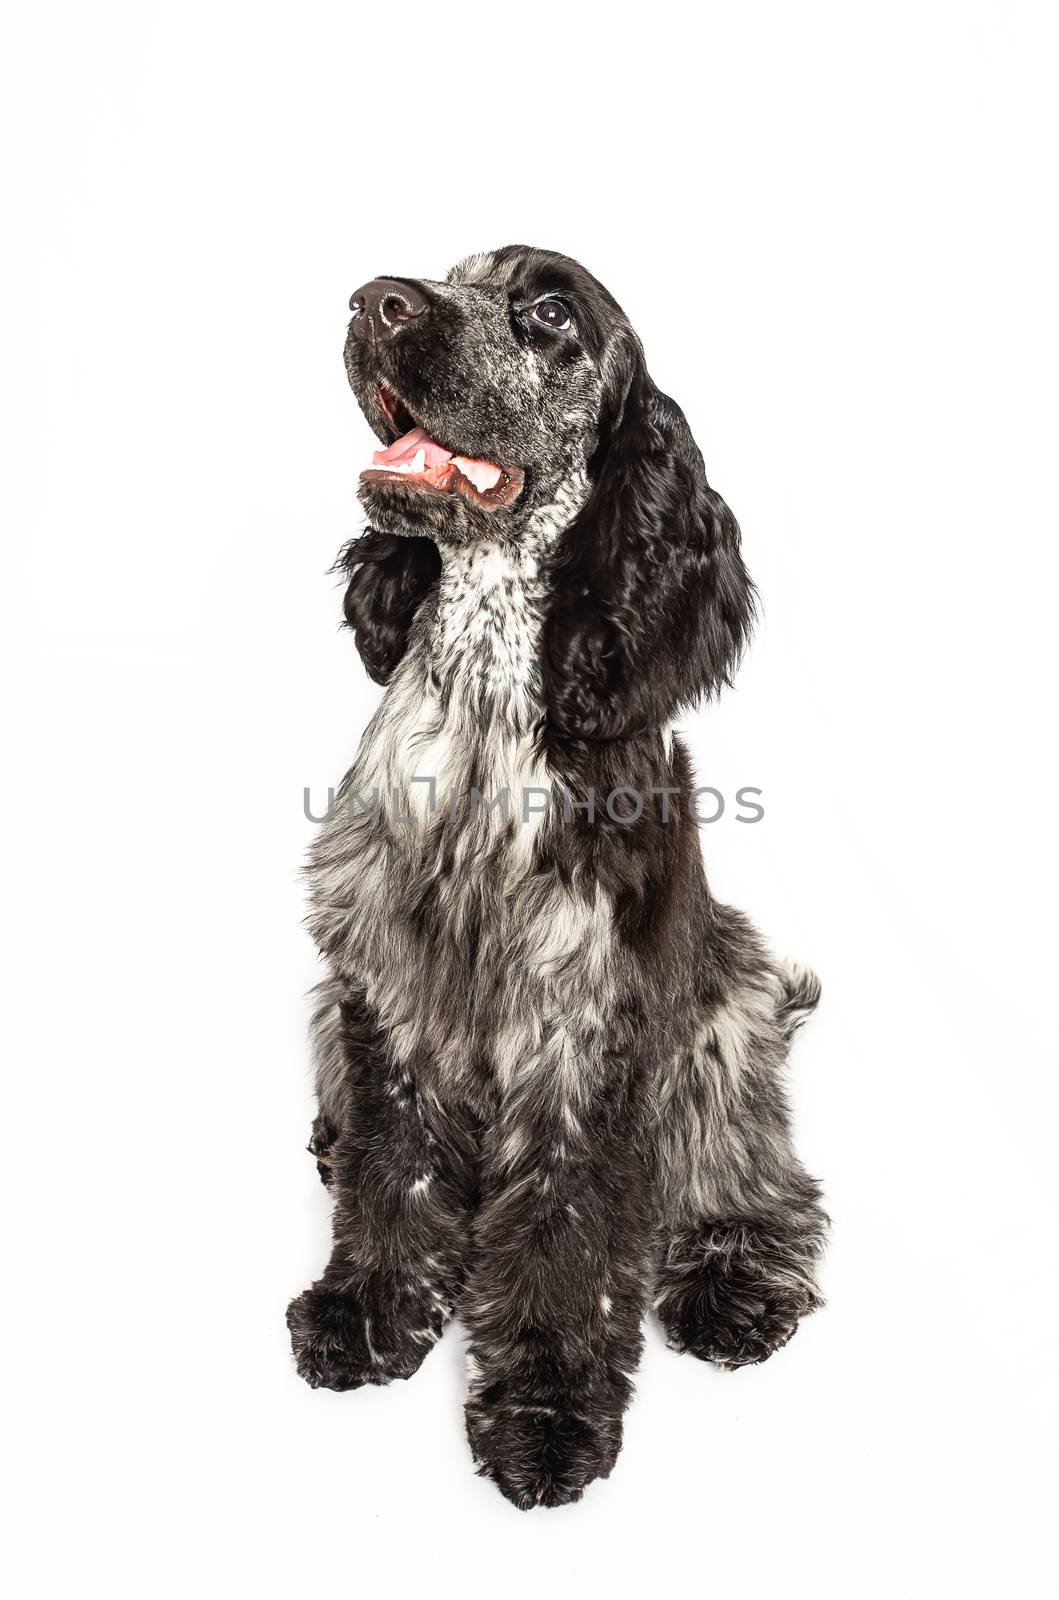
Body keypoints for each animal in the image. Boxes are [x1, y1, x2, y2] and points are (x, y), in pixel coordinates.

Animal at [291, 243, 831, 1504]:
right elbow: (395, 1168)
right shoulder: (384, 982)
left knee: (758, 1176)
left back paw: (735, 1286)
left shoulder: (585, 1022)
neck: (490, 692)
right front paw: (369, 1313)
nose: (376, 301)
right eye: (448, 275)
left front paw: (545, 1411)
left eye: (547, 314)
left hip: (731, 1009)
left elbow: (564, 1229)